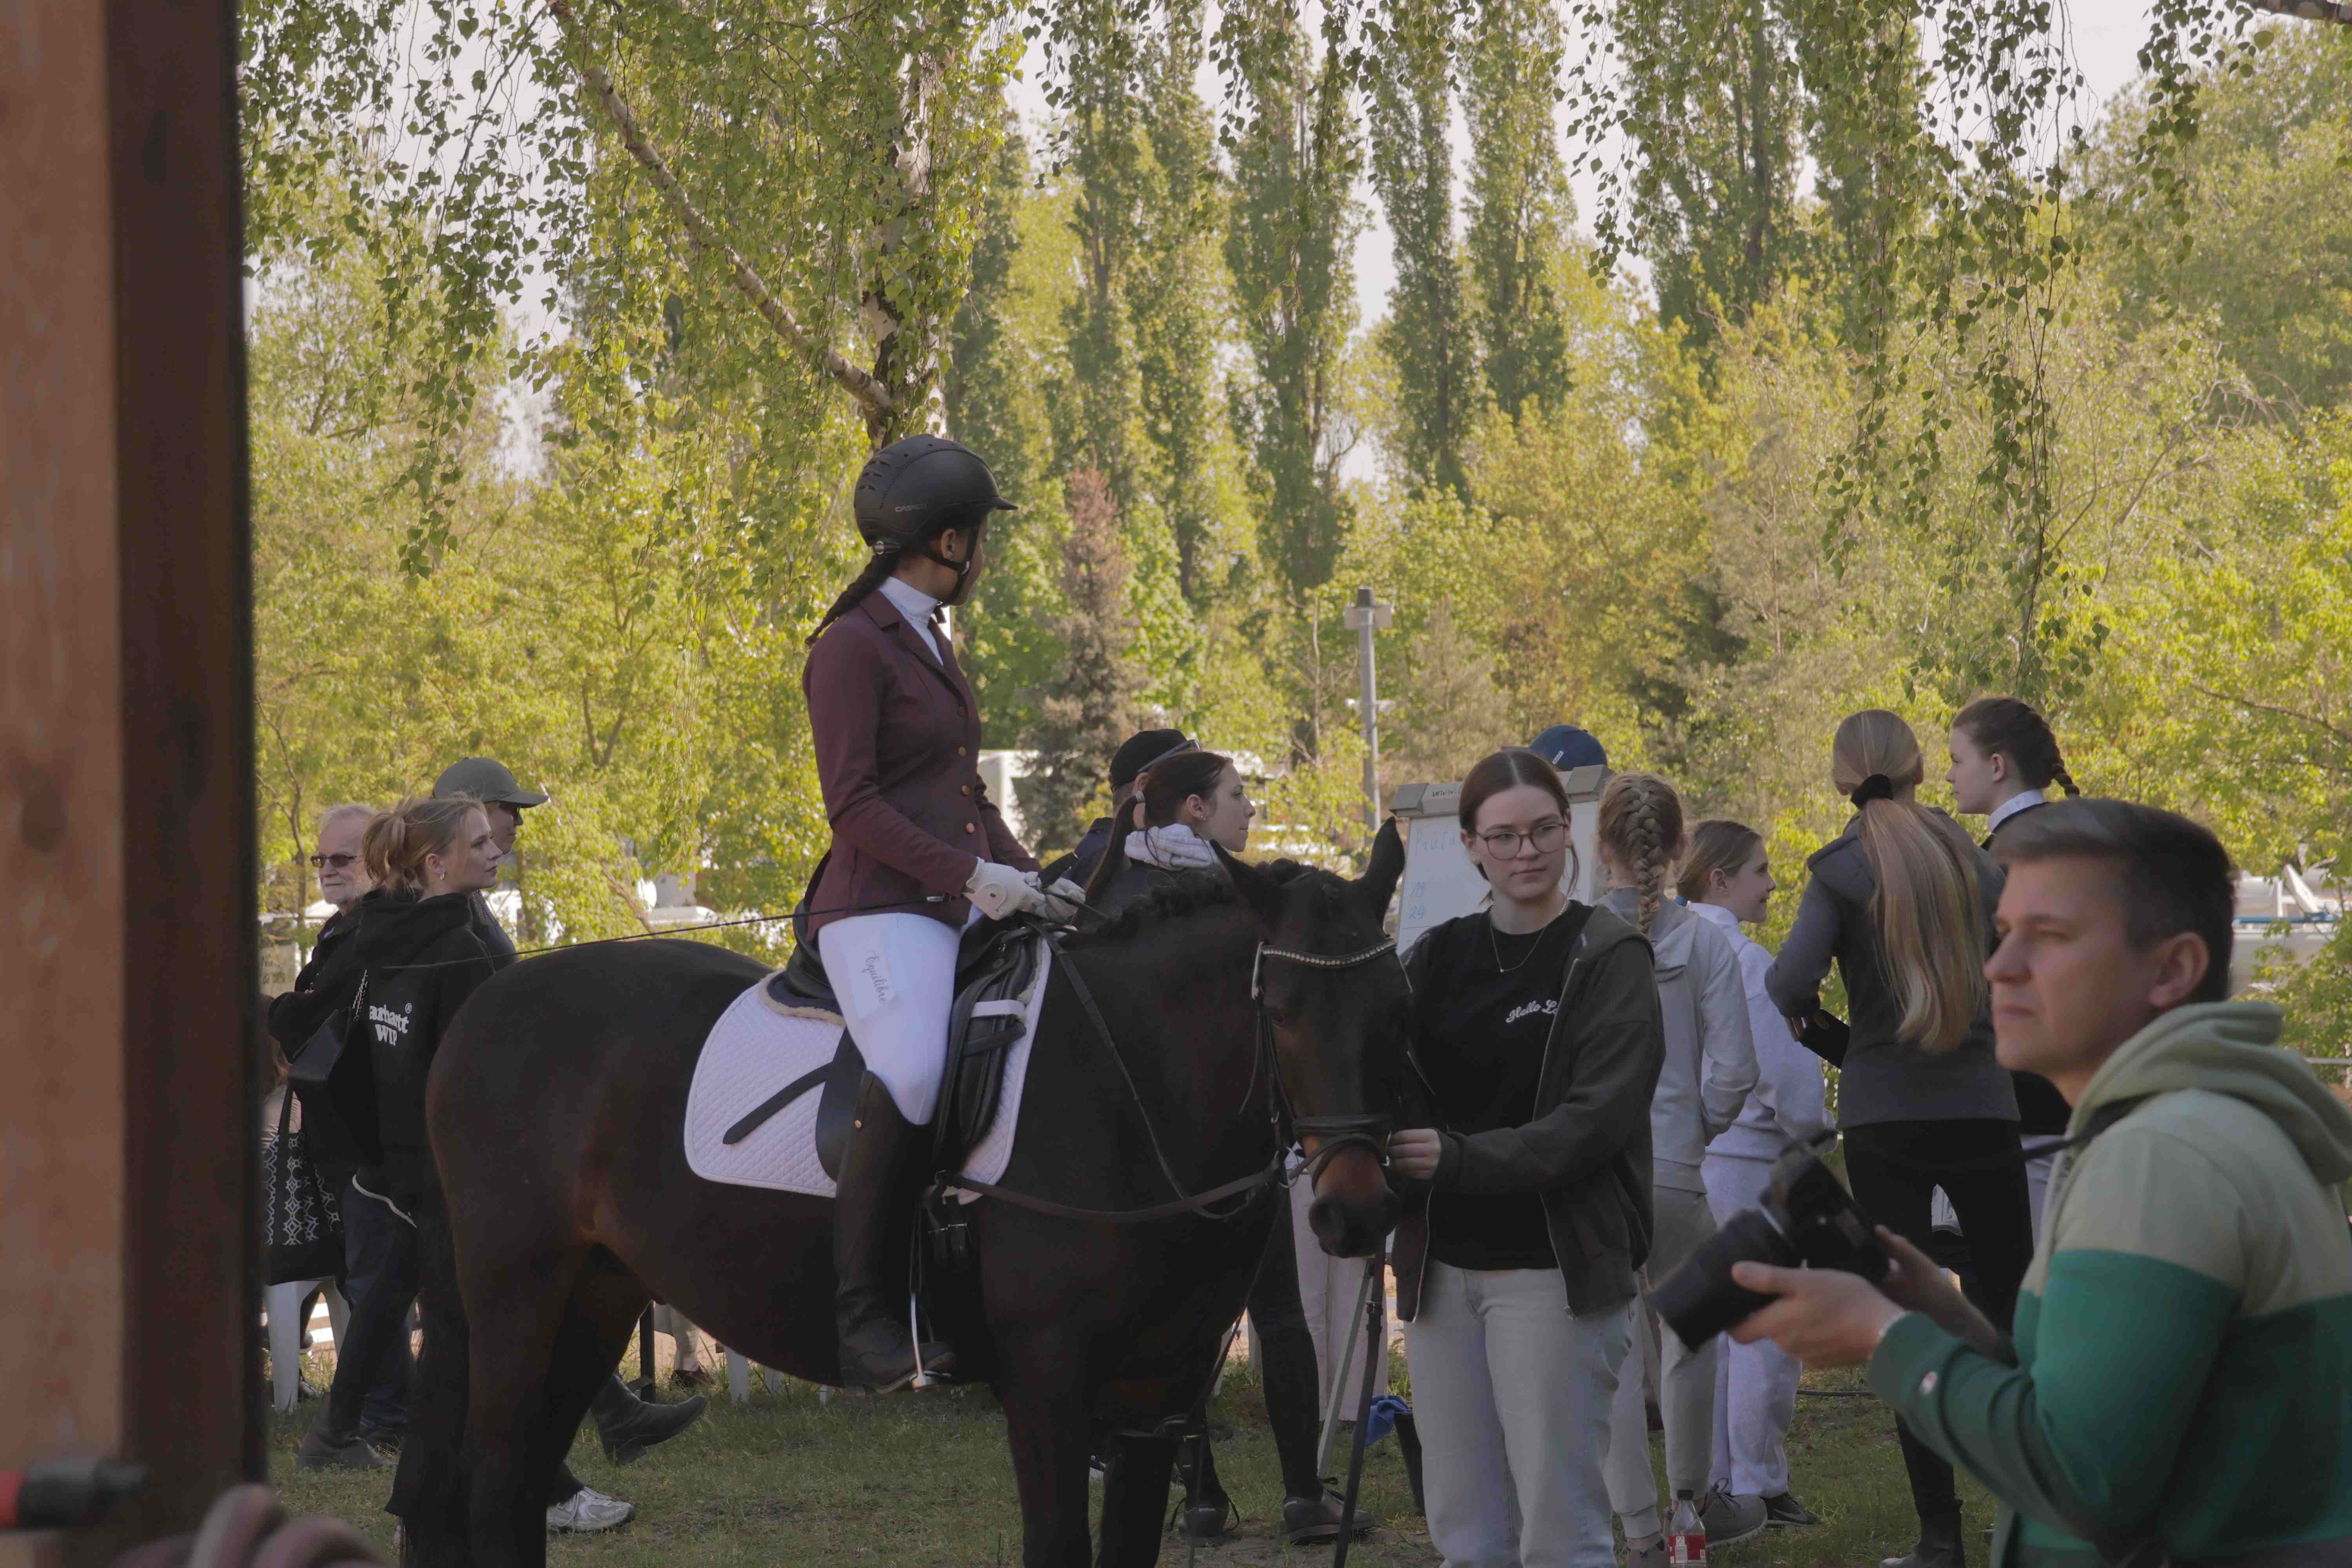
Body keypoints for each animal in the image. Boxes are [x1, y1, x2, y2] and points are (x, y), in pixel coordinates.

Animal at [394, 836, 1408, 1568]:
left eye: (1394, 1003)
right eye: (1279, 1011)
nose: (1355, 1212)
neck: (1127, 1087)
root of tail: (488, 997)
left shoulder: (1156, 1391)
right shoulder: (1047, 1379)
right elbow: (1058, 1545)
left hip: (597, 1293)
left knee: (516, 1488)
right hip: (514, 1293)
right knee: (493, 1486)